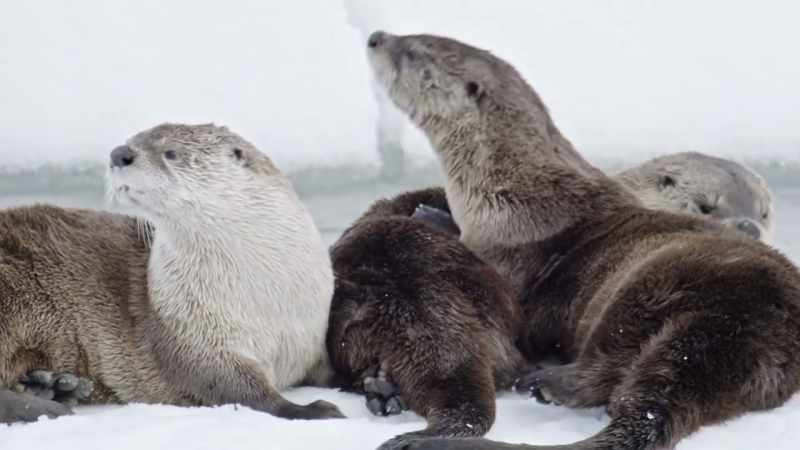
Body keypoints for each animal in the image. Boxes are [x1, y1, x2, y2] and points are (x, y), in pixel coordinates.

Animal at [0, 123, 342, 423]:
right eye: (131, 140)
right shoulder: (195, 337)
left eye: (170, 152)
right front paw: (313, 409)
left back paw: (54, 387)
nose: (120, 153)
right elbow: (240, 388)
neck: (266, 301)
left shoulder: (311, 336)